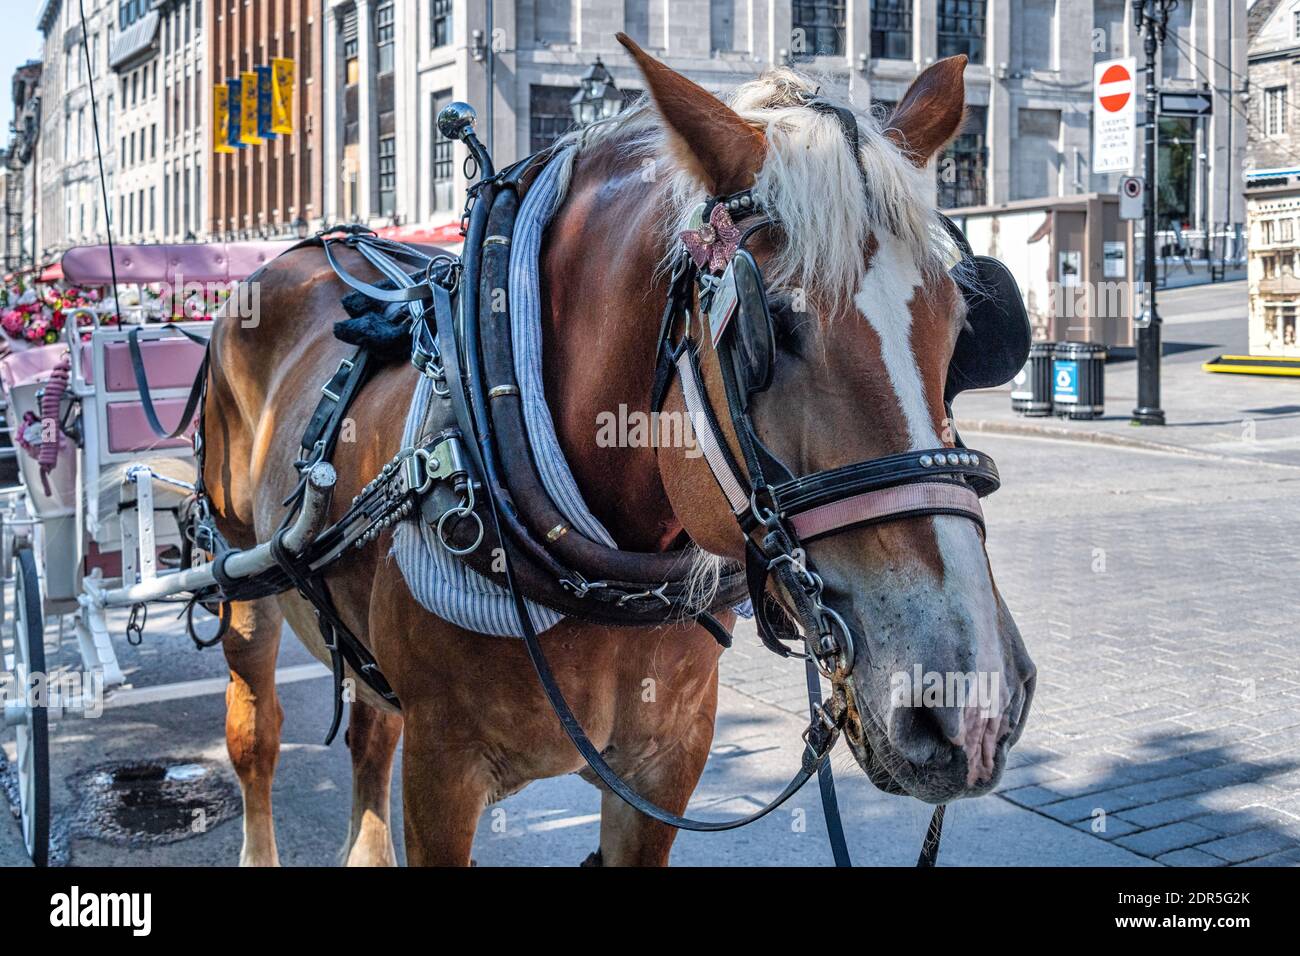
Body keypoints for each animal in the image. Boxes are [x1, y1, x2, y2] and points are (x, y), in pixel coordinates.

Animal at [202, 35, 1036, 866]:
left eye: (962, 327)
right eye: (769, 329)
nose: (969, 700)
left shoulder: (668, 762)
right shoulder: (442, 773)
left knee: (370, 735)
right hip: (240, 578)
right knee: (255, 735)